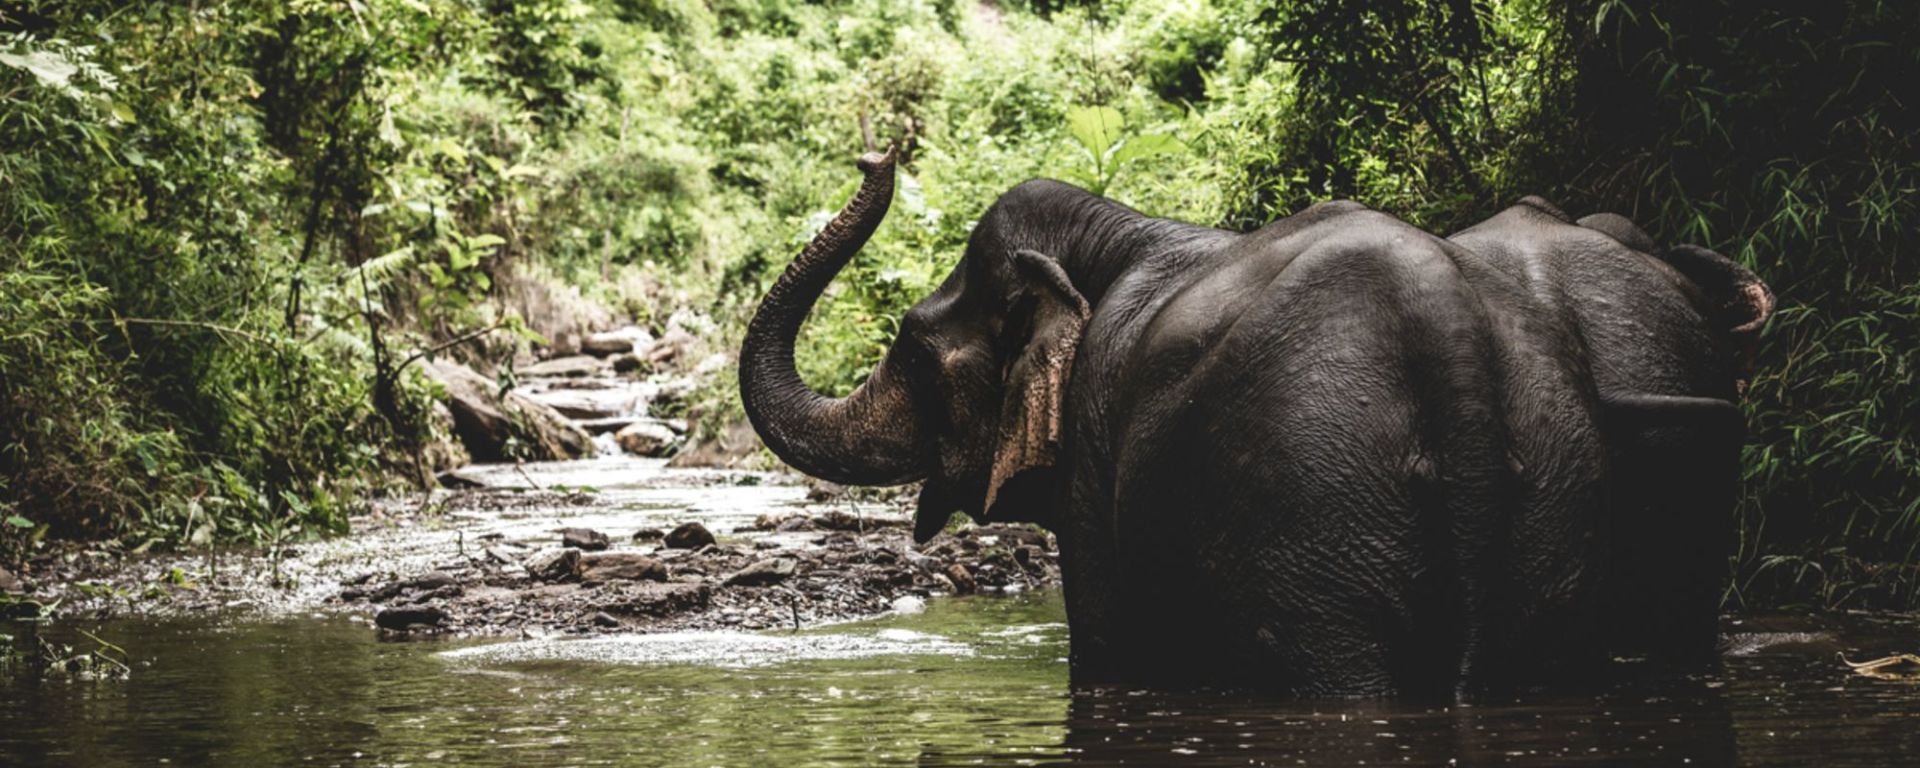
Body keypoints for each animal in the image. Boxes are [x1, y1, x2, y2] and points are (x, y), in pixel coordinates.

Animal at [738, 148, 1773, 696]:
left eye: (913, 349)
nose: (880, 153)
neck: (1118, 231)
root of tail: (1451, 336)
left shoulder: (1096, 460)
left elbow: (1109, 654)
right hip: (1554, 494)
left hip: (1317, 506)